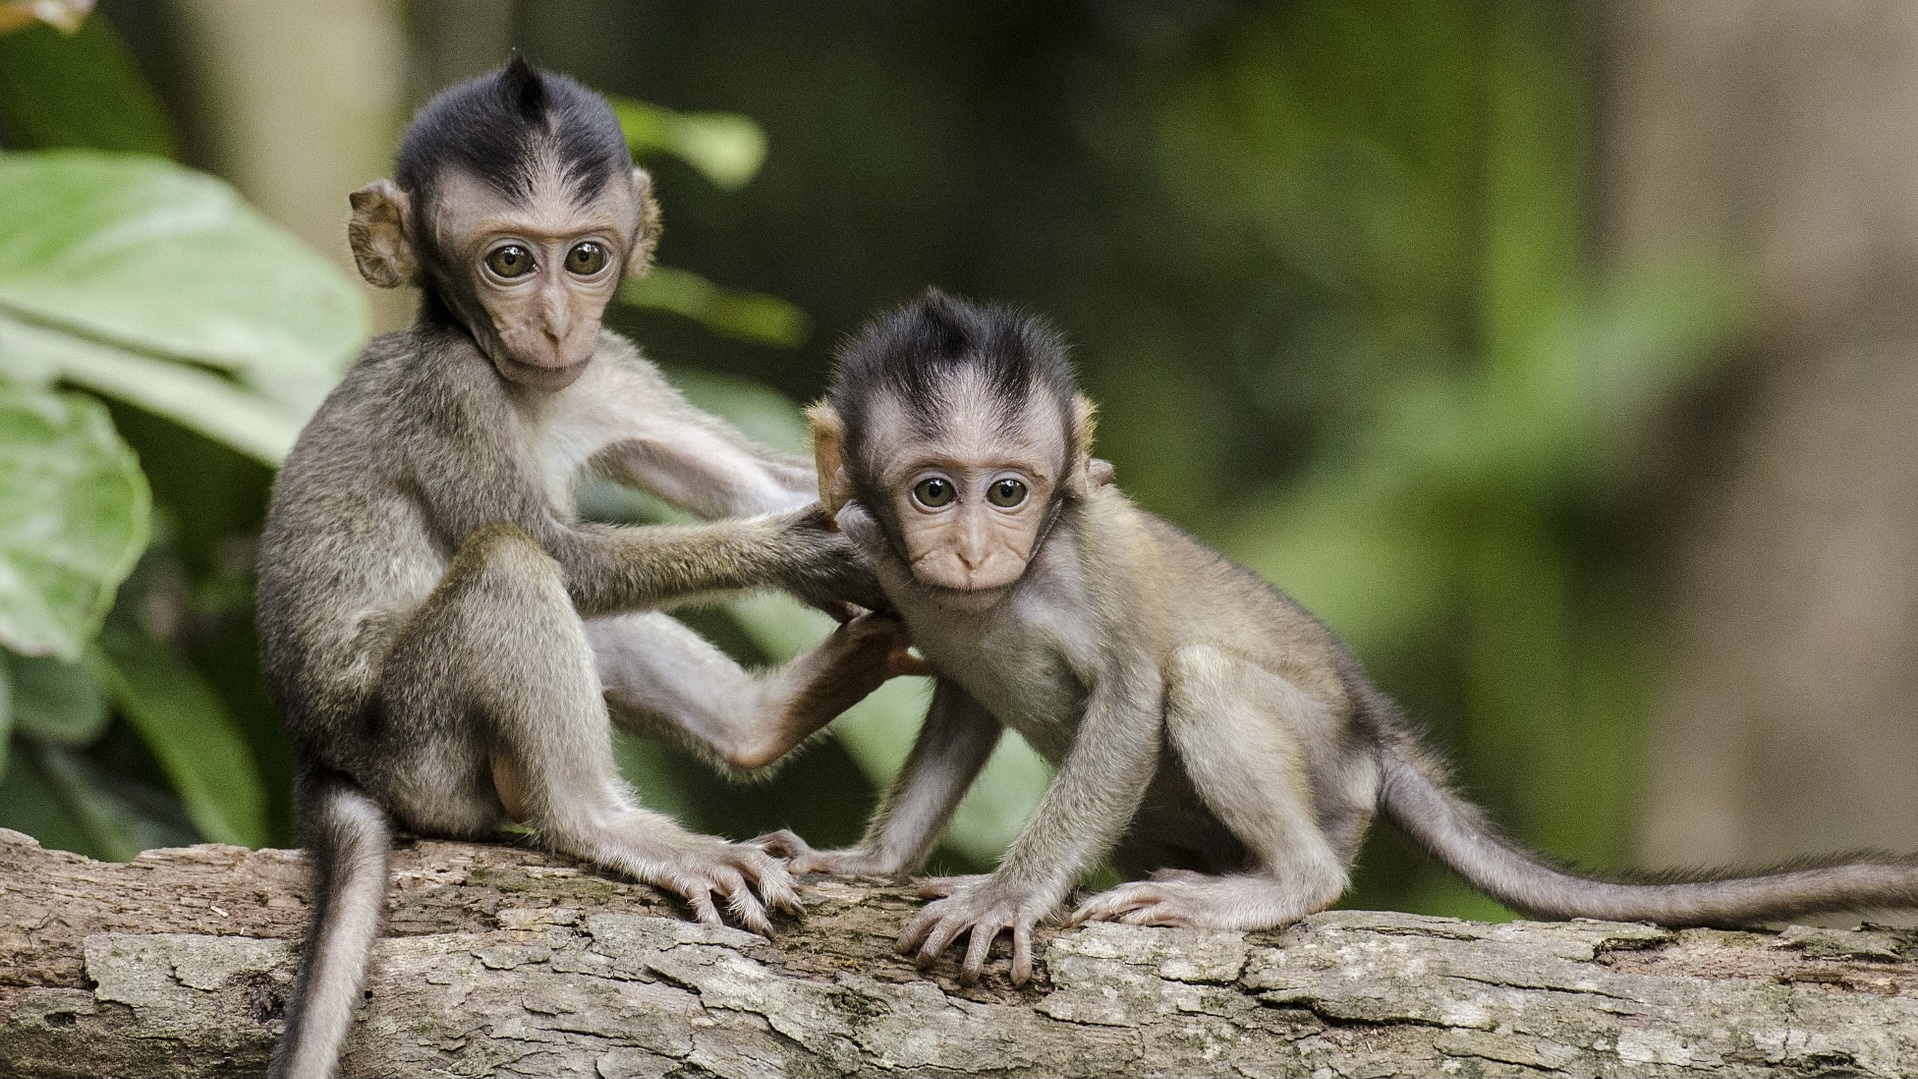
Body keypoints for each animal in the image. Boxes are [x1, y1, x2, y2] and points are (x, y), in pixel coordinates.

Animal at [258, 61, 909, 1079]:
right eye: (509, 262)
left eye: (587, 257)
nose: (557, 323)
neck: (523, 383)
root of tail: (320, 752)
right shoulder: (450, 393)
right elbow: (556, 549)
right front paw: (806, 550)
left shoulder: (610, 371)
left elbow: (751, 479)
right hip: (418, 746)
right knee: (511, 565)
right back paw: (604, 822)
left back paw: (760, 723)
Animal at [751, 289, 1918, 988]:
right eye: (933, 491)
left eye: (1008, 490)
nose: (972, 548)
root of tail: (1372, 736)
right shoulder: (887, 563)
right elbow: (958, 703)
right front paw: (868, 860)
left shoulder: (1090, 554)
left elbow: (1132, 695)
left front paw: (1006, 894)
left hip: (1327, 772)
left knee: (1205, 682)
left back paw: (1282, 882)